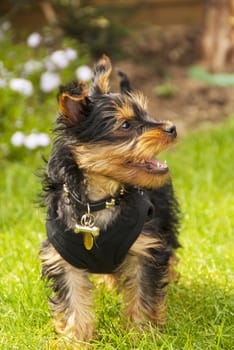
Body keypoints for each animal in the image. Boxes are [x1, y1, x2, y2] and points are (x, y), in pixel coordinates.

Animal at [39, 55, 179, 342]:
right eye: (126, 125)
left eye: (146, 115)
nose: (171, 127)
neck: (98, 200)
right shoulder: (62, 259)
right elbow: (73, 301)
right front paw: (75, 339)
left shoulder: (145, 247)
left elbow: (142, 291)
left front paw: (141, 333)